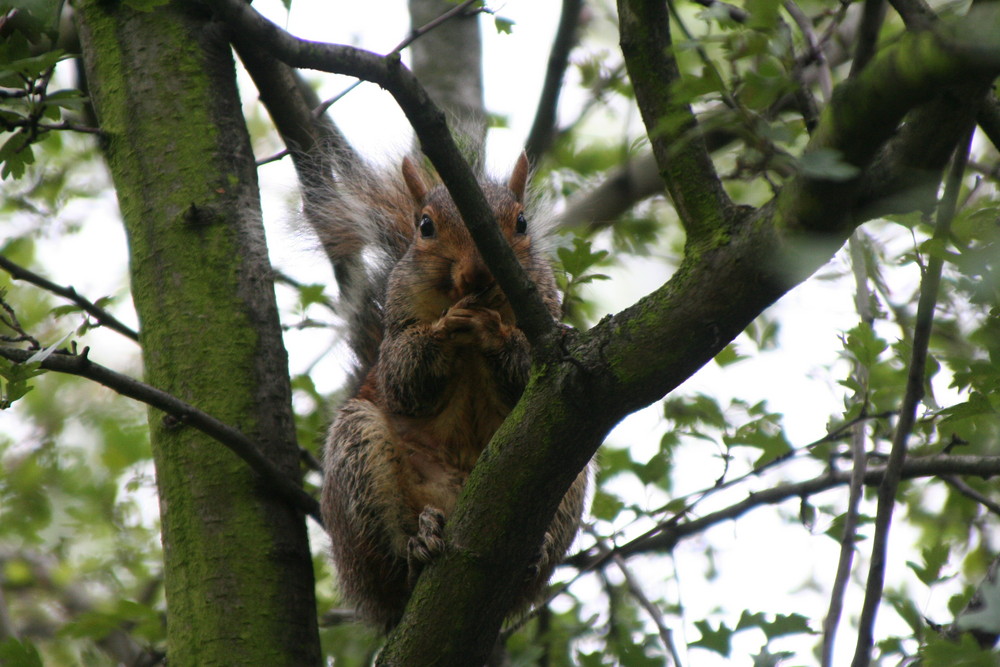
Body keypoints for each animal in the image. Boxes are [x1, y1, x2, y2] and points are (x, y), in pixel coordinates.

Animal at [312, 150, 588, 632]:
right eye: (425, 226)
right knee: (391, 567)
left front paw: (492, 331)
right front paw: (445, 327)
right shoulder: (398, 331)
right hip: (358, 457)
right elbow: (403, 376)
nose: (477, 273)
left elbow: (524, 371)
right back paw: (417, 549)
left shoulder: (546, 318)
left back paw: (533, 553)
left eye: (521, 223)